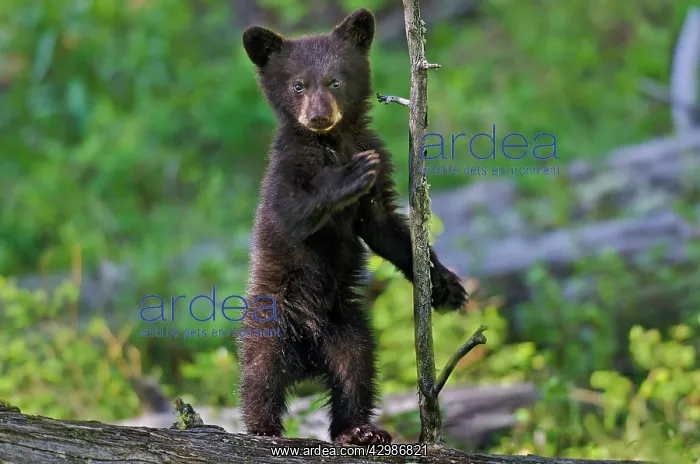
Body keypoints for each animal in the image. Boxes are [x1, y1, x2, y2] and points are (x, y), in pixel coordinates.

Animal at [239, 8, 469, 445]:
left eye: (335, 80)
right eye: (297, 85)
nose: (318, 116)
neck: (333, 142)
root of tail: (307, 359)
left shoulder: (377, 164)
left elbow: (386, 228)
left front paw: (446, 285)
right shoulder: (286, 170)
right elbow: (292, 214)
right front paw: (349, 176)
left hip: (348, 327)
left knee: (355, 373)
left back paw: (358, 430)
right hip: (270, 319)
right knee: (259, 372)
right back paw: (263, 429)